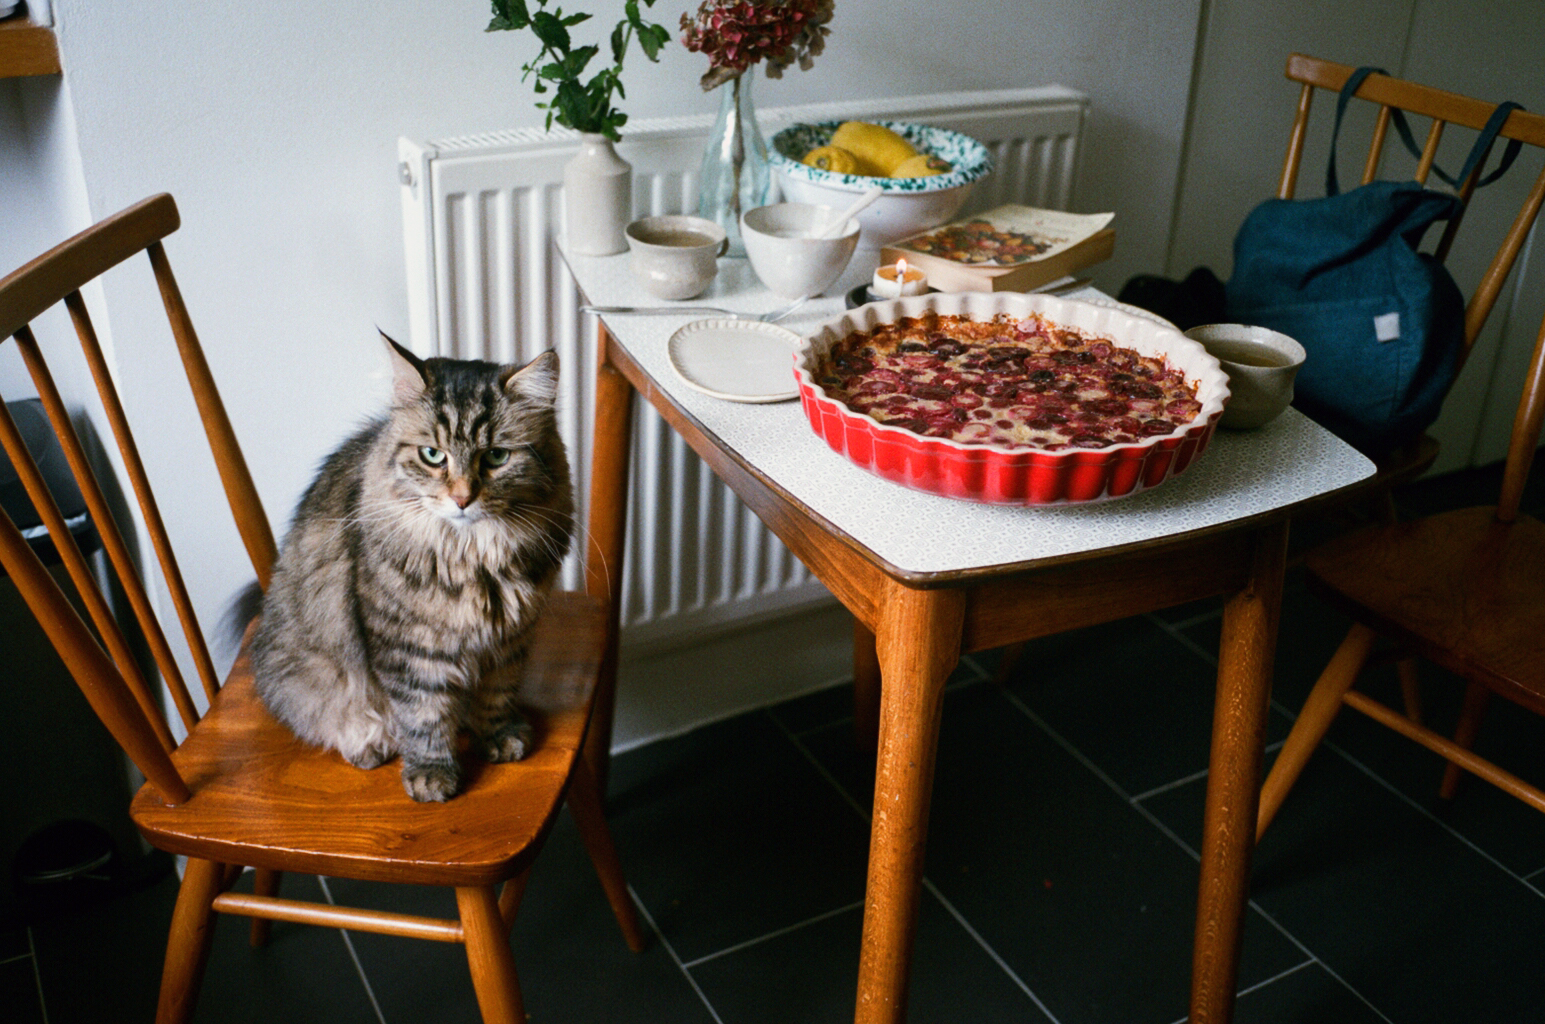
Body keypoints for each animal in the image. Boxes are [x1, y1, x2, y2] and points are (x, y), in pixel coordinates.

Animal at [253, 335, 574, 803]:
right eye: (432, 455)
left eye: (496, 457)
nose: (462, 498)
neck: (474, 559)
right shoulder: (410, 647)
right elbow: (423, 715)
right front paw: (432, 774)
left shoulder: (509, 638)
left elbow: (496, 695)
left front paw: (499, 736)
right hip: (300, 669)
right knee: (326, 715)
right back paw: (369, 742)